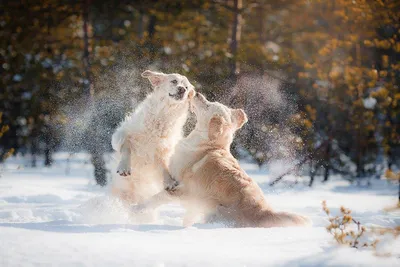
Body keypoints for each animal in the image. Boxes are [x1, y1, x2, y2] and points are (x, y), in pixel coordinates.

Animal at [111, 70, 195, 205]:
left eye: (187, 87)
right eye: (174, 81)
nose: (182, 90)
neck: (164, 114)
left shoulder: (163, 149)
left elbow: (164, 166)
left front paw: (169, 182)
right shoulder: (123, 133)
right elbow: (126, 147)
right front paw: (124, 167)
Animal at [138, 92, 310, 228]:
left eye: (208, 105)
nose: (197, 93)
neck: (209, 145)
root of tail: (264, 212)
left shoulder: (183, 189)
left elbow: (156, 197)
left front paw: (136, 208)